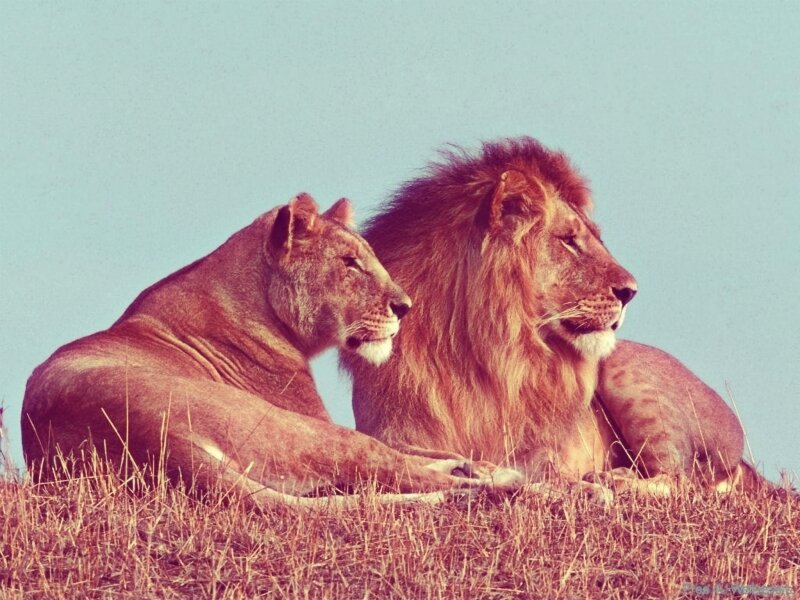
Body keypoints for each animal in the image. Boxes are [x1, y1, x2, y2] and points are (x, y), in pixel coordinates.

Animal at [21, 193, 523, 507]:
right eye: (349, 263)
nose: (405, 306)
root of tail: (153, 439)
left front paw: (467, 461)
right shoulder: (311, 415)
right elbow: (402, 451)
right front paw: (480, 468)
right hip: (296, 429)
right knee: (383, 465)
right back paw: (498, 481)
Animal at [341, 137, 751, 495]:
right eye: (569, 240)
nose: (631, 291)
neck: (477, 354)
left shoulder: (541, 445)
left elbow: (541, 466)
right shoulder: (388, 430)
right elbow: (408, 454)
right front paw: (472, 469)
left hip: (627, 372)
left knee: (681, 481)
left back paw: (613, 480)